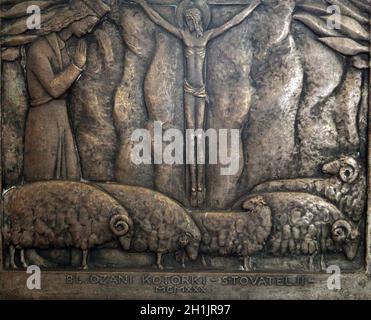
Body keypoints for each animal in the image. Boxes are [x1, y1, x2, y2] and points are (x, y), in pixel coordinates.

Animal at [2, 181, 134, 268]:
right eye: (127, 234)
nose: (127, 249)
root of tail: (9, 194)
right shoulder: (85, 236)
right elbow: (85, 252)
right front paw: (84, 266)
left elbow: (85, 252)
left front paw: (83, 265)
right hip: (16, 231)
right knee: (12, 248)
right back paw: (14, 265)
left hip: (23, 233)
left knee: (20, 248)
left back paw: (23, 264)